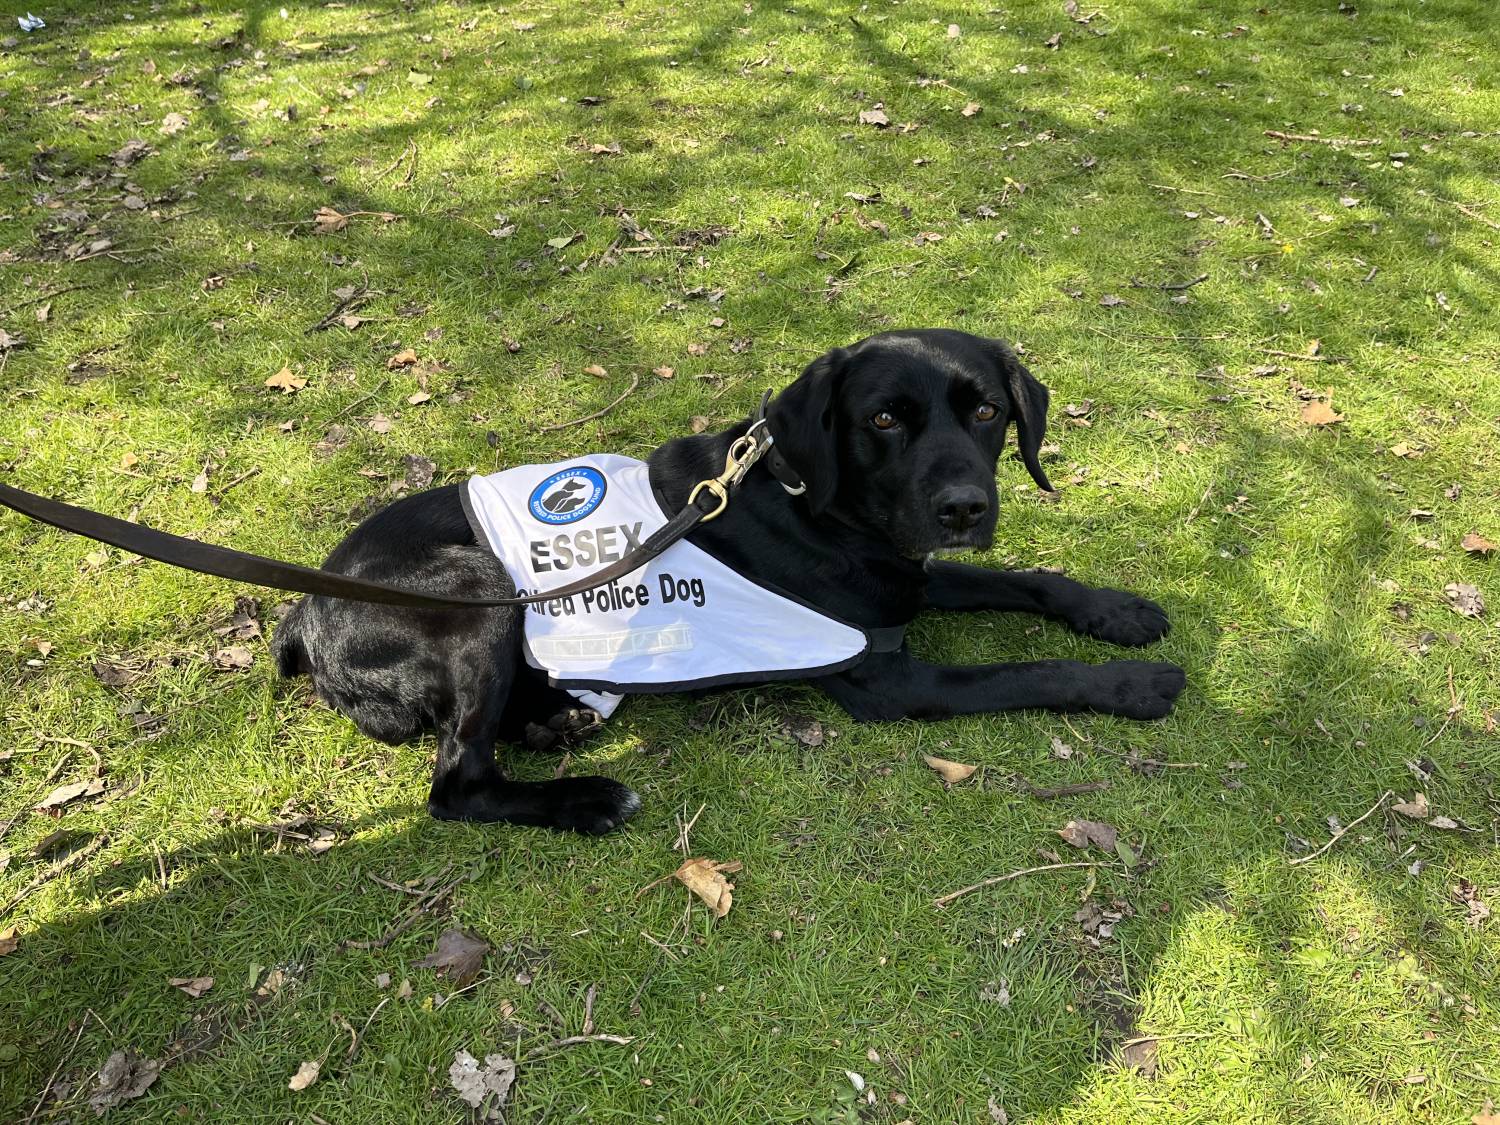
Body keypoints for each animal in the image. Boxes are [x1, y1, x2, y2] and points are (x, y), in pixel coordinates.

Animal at [273, 330, 1182, 834]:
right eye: (884, 418)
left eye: (988, 410)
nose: (964, 507)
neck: (809, 496)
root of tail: (304, 615)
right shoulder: (890, 677)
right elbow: (1030, 669)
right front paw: (1134, 684)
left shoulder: (907, 578)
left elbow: (1024, 577)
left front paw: (1115, 610)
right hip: (474, 592)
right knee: (457, 781)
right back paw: (584, 799)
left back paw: (558, 719)